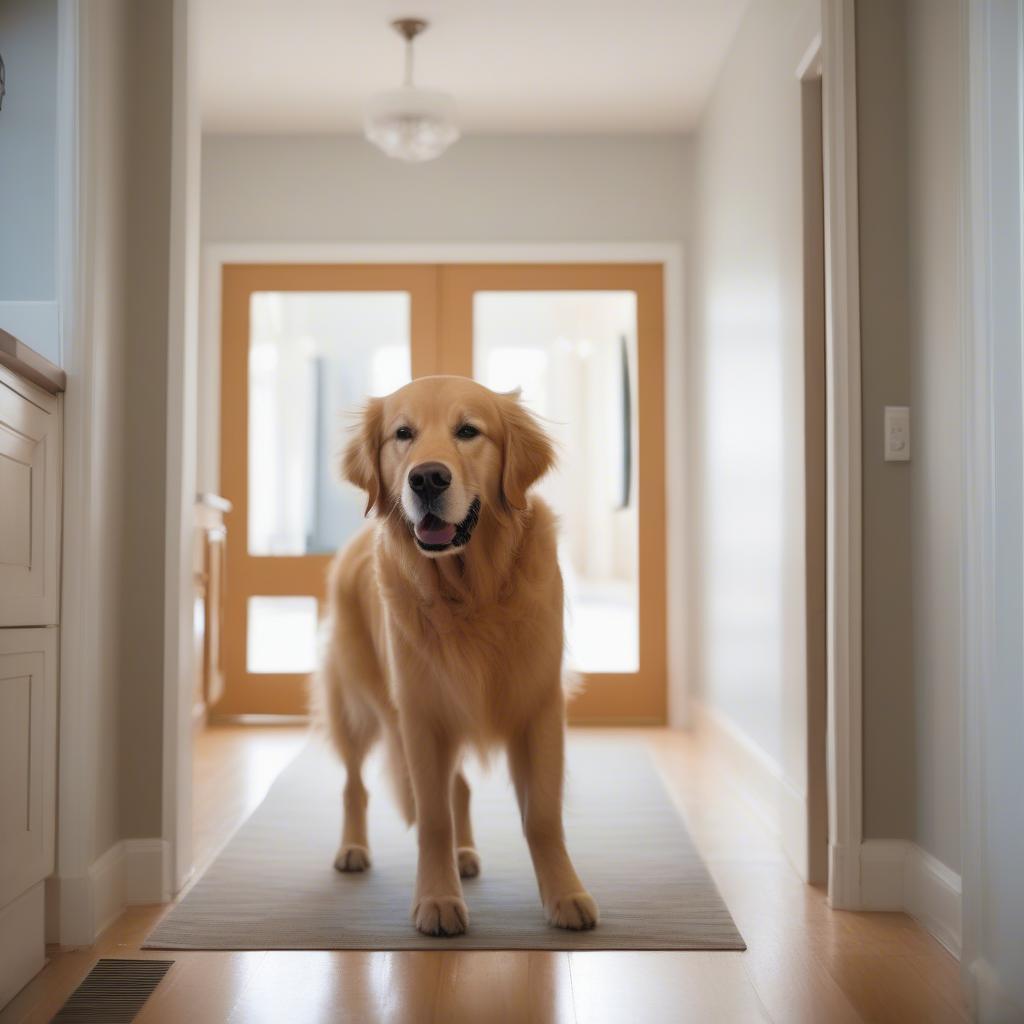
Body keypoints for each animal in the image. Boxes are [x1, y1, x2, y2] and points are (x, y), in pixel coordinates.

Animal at [313, 376, 598, 937]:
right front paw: (437, 899)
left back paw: (465, 855)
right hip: (356, 705)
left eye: (469, 431)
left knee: (459, 788)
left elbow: (541, 816)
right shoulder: (421, 716)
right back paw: (353, 848)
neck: (470, 593)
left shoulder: (538, 707)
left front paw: (565, 894)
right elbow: (433, 818)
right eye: (403, 434)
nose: (427, 479)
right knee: (354, 784)